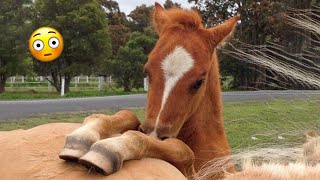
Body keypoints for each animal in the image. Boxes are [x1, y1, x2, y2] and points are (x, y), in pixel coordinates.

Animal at [59, 2, 238, 179]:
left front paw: (115, 147)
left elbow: (183, 151)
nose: (154, 136)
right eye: (147, 72)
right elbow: (127, 115)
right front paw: (81, 138)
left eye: (199, 82)